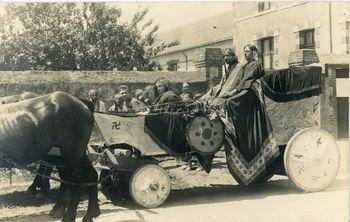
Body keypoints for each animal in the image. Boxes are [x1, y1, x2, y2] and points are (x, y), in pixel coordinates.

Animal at [0, 91, 100, 221]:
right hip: (77, 152)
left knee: (76, 181)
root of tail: (82, 103)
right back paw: (90, 214)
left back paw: (68, 217)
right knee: (89, 175)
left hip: (71, 151)